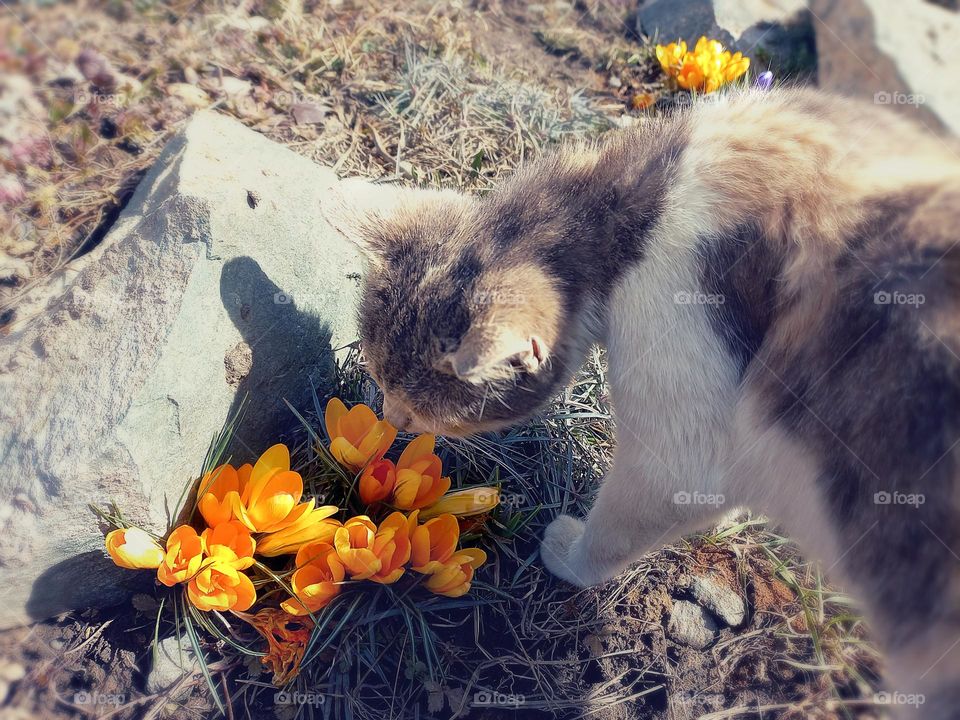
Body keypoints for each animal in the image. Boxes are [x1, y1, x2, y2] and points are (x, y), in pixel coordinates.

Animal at [330, 87, 960, 716]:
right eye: (380, 382)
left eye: (416, 409)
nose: (389, 417)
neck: (633, 205)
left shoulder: (681, 428)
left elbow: (634, 511)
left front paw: (571, 555)